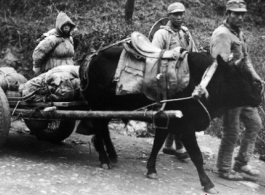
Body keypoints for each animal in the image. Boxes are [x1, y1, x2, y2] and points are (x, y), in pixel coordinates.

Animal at [78, 45, 260, 193]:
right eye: (240, 73)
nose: (260, 85)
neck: (203, 82)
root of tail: (92, 57)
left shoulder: (166, 121)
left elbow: (158, 144)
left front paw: (151, 169)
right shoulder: (185, 127)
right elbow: (197, 156)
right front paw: (208, 184)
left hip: (108, 110)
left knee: (103, 130)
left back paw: (112, 155)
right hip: (97, 107)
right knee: (100, 131)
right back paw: (104, 159)